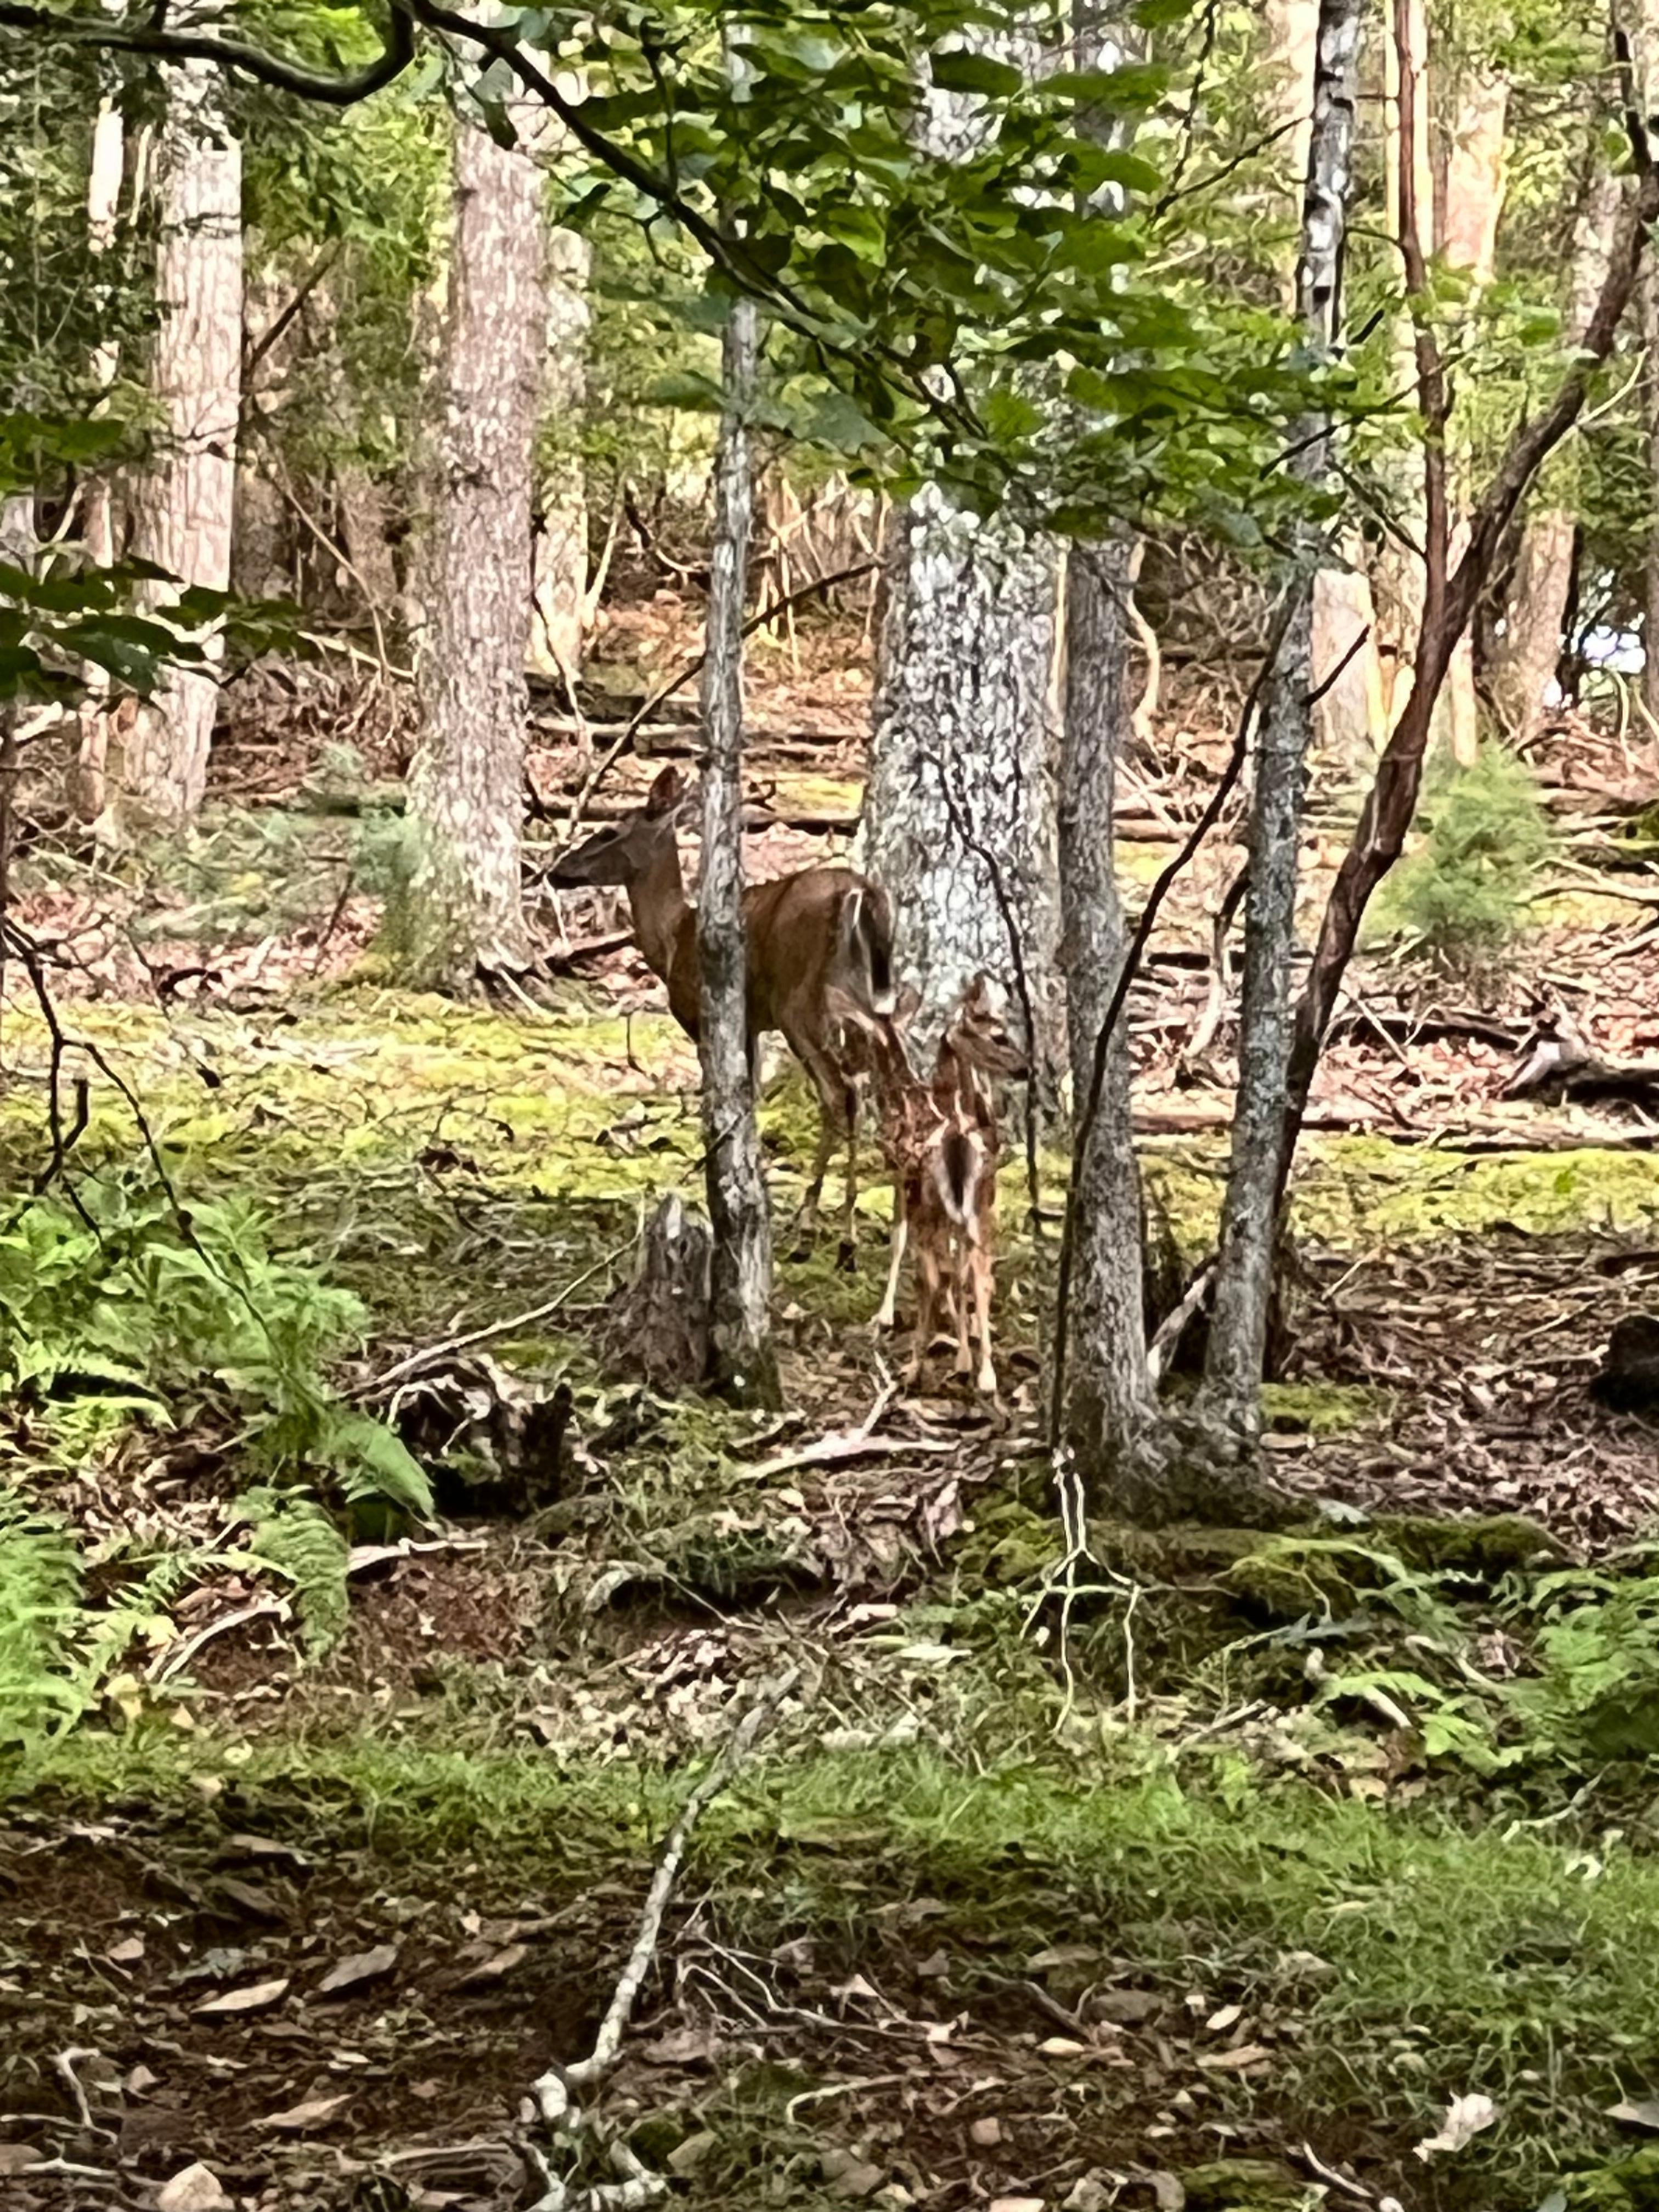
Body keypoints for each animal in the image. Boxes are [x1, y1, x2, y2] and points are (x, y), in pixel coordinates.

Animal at [547, 765, 897, 1260]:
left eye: (608, 831)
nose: (555, 871)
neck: (673, 939)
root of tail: (861, 893)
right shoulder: (749, 1025)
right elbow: (748, 1097)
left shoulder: (701, 1019)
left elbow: (718, 1099)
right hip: (870, 996)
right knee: (869, 1087)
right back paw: (851, 1228)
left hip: (799, 999)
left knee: (839, 1092)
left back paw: (811, 1223)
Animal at [866, 973, 1027, 1398]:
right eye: (999, 1036)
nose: (1024, 1068)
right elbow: (962, 1271)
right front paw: (964, 1345)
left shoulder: (908, 1185)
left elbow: (911, 1249)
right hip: (976, 1210)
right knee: (979, 1275)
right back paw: (983, 1372)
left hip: (937, 1206)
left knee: (937, 1273)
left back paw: (919, 1364)